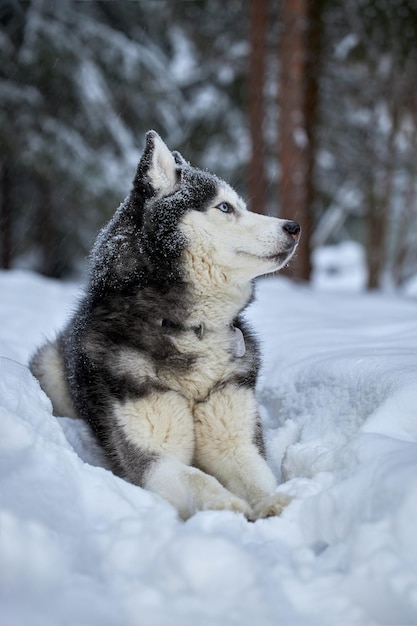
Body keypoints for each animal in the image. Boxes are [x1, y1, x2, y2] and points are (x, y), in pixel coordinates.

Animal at [31, 130, 300, 516]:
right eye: (224, 207)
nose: (294, 227)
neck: (188, 327)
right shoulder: (155, 460)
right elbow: (199, 480)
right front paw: (227, 508)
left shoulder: (234, 439)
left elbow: (256, 477)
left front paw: (273, 504)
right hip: (50, 369)